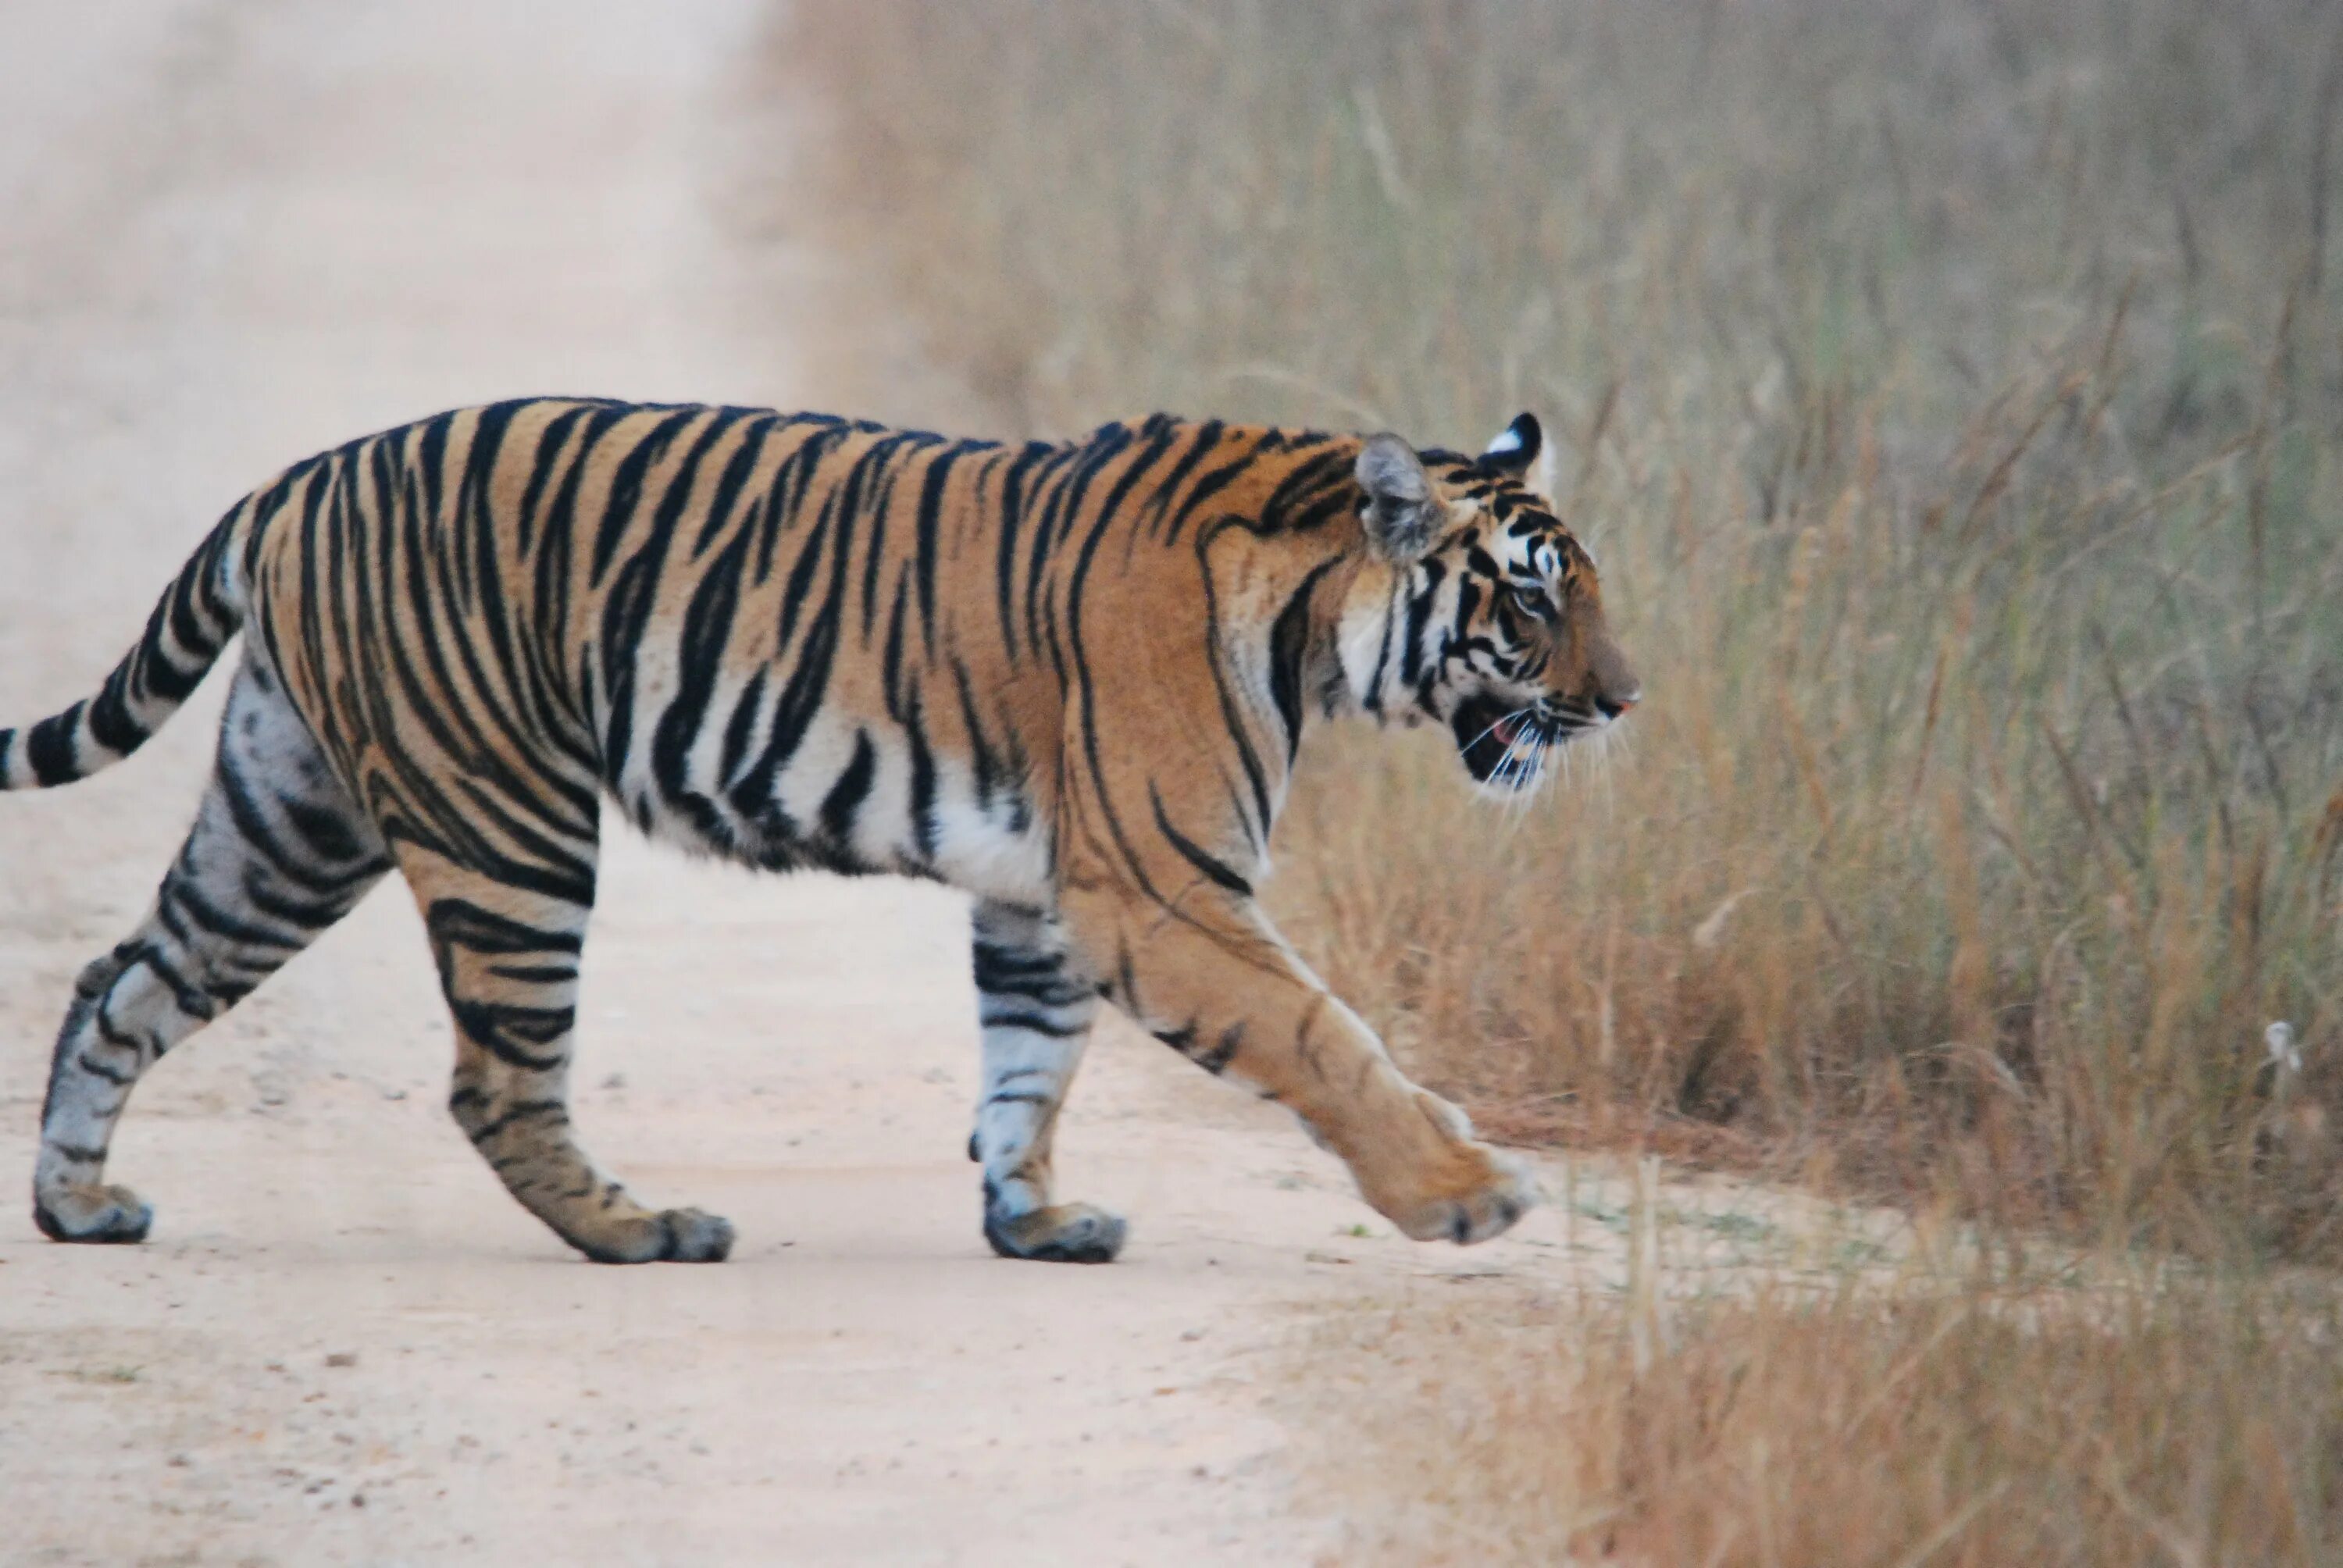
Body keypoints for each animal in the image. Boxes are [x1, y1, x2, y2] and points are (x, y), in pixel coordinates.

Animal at [2, 399, 1639, 1265]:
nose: (1626, 700)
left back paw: (78, 1201)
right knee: (497, 1082)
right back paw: (645, 1227)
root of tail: (295, 474)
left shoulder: (1047, 897)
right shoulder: (1161, 891)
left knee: (119, 982)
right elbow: (1324, 1033)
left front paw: (1034, 1217)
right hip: (506, 824)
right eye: (1533, 597)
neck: (1310, 615)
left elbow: (1029, 1063)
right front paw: (1464, 1191)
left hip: (292, 820)